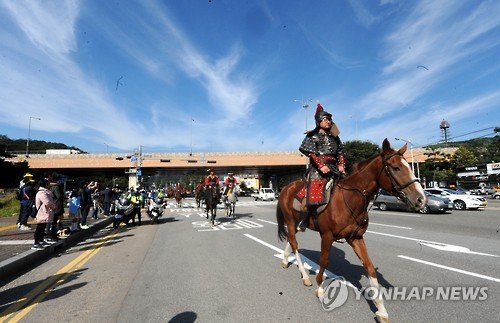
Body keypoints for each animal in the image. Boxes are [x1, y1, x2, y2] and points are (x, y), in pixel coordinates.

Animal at [278, 139, 426, 322]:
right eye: (396, 168)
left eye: (409, 167)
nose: (421, 199)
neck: (349, 199)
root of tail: (286, 187)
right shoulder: (327, 236)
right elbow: (324, 261)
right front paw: (320, 288)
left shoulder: (356, 238)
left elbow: (369, 267)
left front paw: (381, 310)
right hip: (290, 221)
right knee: (295, 243)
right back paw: (305, 276)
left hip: (299, 223)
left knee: (291, 241)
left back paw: (286, 260)